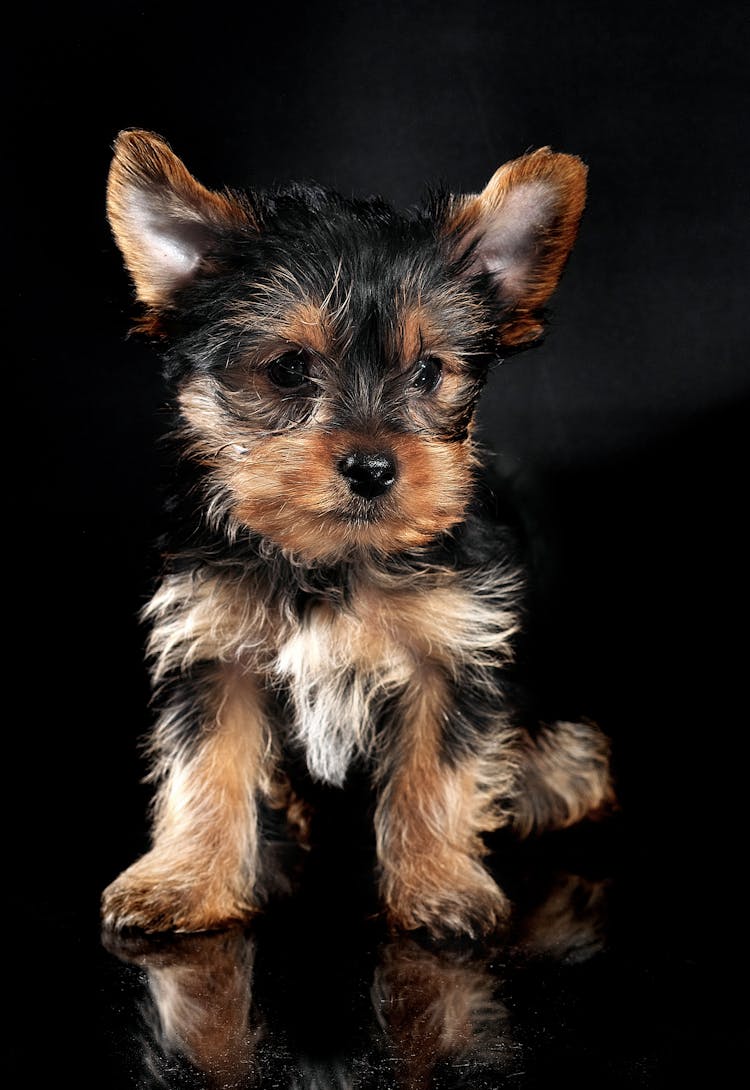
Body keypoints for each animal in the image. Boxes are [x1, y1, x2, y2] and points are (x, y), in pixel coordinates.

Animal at [100, 129, 614, 937]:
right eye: (287, 369)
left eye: (429, 372)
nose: (373, 467)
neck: (334, 558)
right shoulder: (214, 647)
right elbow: (206, 765)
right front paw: (184, 879)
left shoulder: (452, 648)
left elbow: (436, 769)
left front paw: (437, 883)